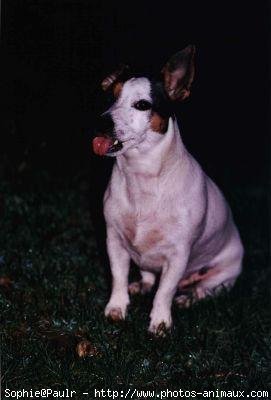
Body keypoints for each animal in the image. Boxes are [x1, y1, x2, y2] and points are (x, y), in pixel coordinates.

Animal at [93, 45, 244, 334]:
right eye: (109, 97)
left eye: (142, 104)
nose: (102, 122)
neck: (142, 177)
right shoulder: (114, 241)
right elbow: (118, 277)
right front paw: (116, 308)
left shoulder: (178, 255)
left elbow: (165, 291)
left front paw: (160, 323)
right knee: (149, 276)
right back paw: (142, 285)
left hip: (223, 274)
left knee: (203, 290)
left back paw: (188, 298)